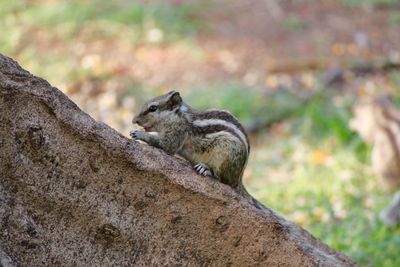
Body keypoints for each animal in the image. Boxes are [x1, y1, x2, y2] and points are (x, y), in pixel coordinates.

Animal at [130, 90, 262, 209]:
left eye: (153, 108)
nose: (134, 120)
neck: (178, 116)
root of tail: (239, 178)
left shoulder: (176, 133)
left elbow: (166, 145)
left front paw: (139, 134)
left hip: (225, 155)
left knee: (223, 180)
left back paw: (205, 169)